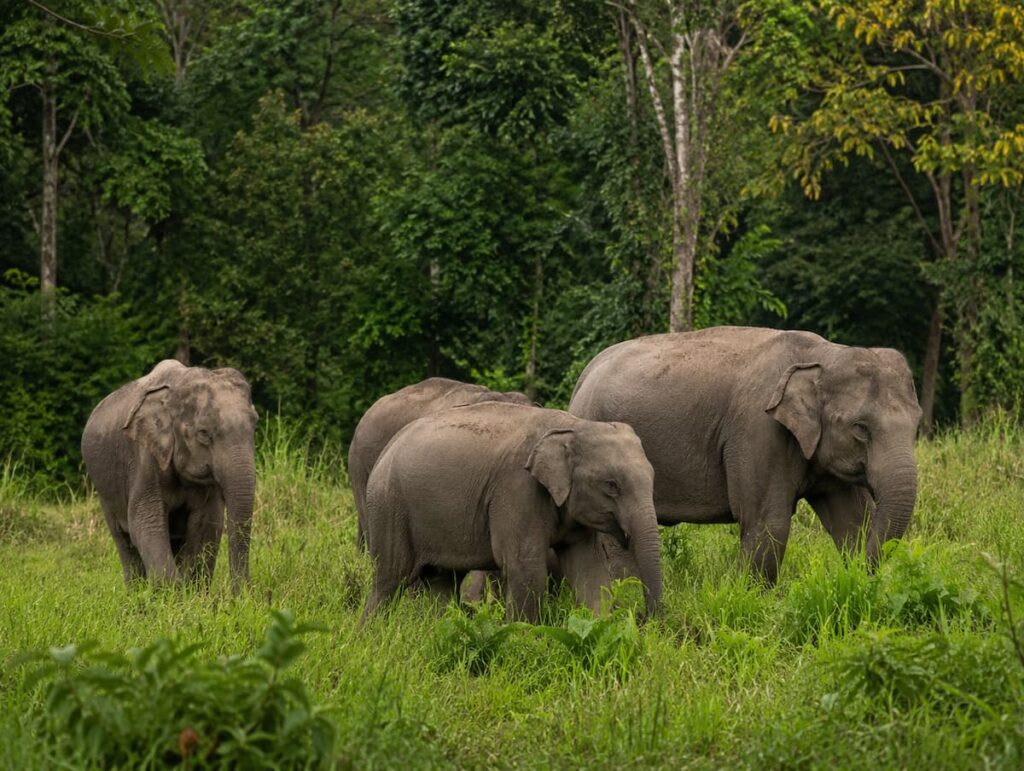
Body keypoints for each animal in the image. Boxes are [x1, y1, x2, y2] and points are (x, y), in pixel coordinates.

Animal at [81, 359, 258, 591]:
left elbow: (206, 524)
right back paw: (136, 593)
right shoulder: (144, 457)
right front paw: (173, 592)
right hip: (105, 494)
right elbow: (145, 521)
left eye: (255, 426)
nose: (242, 593)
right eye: (203, 433)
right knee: (124, 541)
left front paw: (191, 593)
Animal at [360, 402, 662, 622]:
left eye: (652, 478)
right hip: (390, 507)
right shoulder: (517, 490)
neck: (573, 426)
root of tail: (386, 450)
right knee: (389, 580)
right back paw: (371, 635)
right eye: (611, 485)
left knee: (442, 583)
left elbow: (589, 570)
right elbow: (526, 567)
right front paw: (523, 638)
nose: (645, 620)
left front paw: (602, 626)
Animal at [569, 326, 922, 585]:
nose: (869, 574)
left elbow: (853, 520)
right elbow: (768, 521)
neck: (823, 354)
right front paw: (742, 596)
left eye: (917, 424)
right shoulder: (758, 430)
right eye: (860, 427)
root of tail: (584, 376)